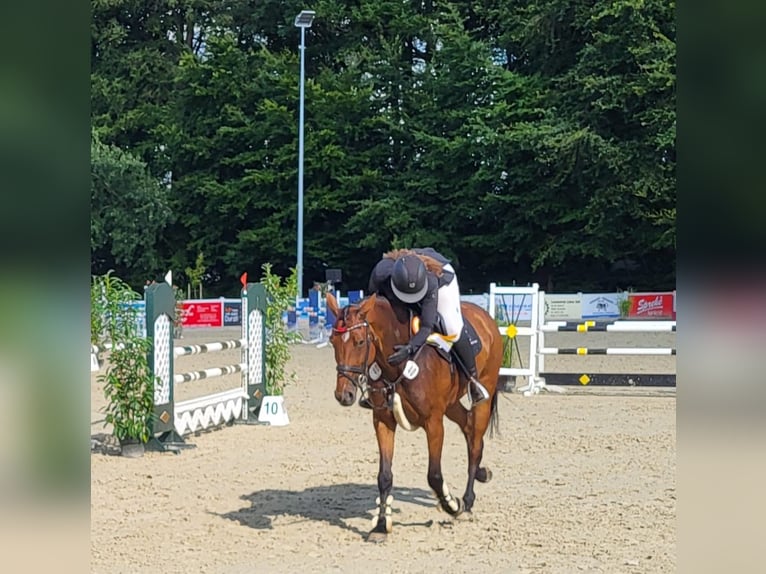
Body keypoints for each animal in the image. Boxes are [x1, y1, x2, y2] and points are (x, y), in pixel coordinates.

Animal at [324, 294, 504, 544]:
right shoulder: (383, 421)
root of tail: (484, 315)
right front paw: (381, 526)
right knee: (468, 428)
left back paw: (467, 503)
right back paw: (481, 473)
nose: (344, 395)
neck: (398, 364)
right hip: (451, 405)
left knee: (475, 443)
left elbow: (434, 475)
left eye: (359, 342)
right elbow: (385, 476)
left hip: (483, 395)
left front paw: (452, 505)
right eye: (333, 341)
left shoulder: (433, 423)